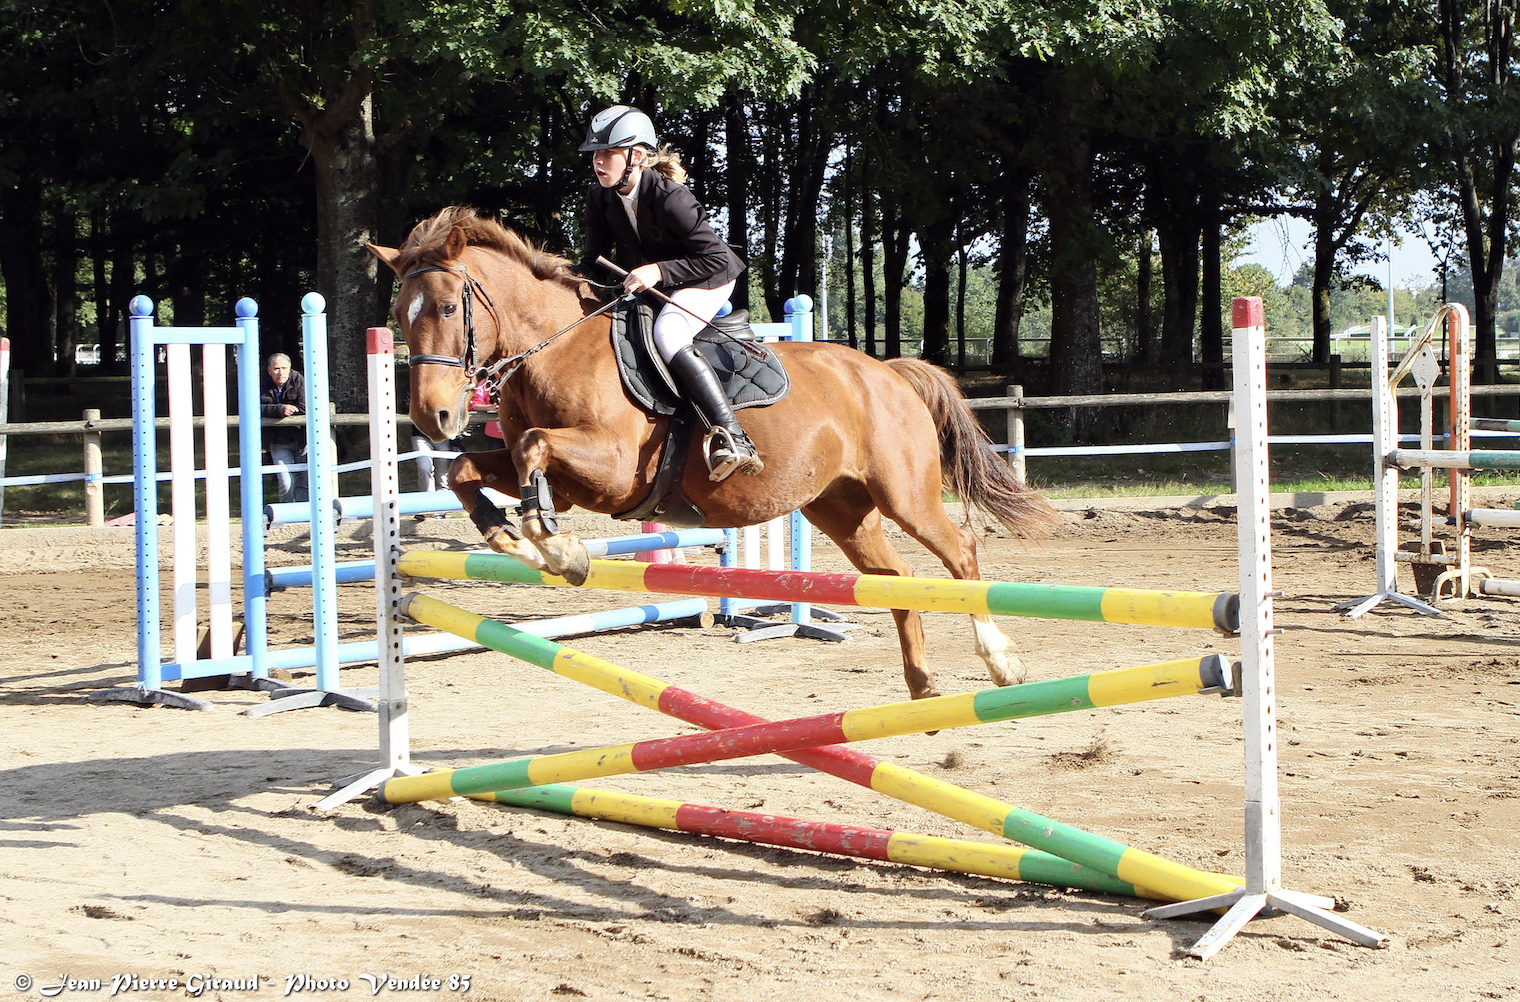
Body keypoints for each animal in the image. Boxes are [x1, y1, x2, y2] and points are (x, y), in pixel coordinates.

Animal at [369, 206, 1058, 701]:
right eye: (399, 314)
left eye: (447, 307)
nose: (433, 417)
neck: (554, 349)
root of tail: (887, 373)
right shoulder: (556, 476)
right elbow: (471, 469)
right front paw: (516, 538)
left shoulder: (612, 468)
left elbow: (535, 448)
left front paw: (559, 550)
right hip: (838, 507)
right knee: (894, 579)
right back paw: (922, 685)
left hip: (904, 493)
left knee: (960, 551)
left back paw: (1001, 661)